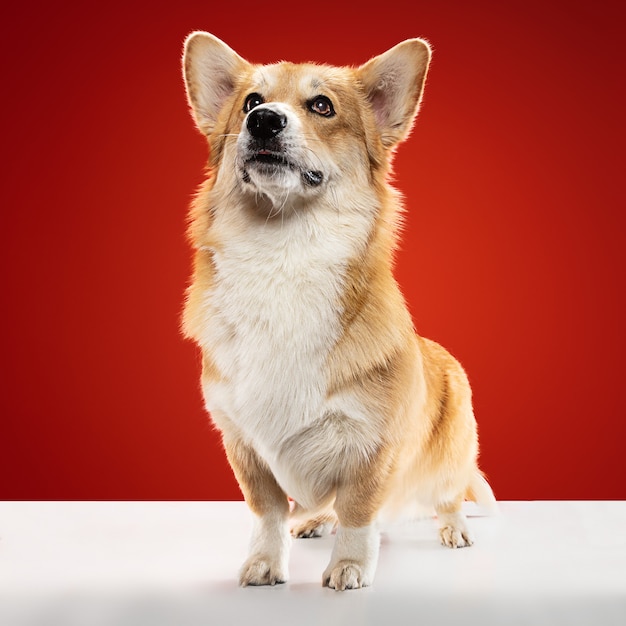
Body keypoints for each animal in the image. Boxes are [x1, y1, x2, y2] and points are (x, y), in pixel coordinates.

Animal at [182, 33, 498, 588]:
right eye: (251, 101)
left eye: (322, 106)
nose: (264, 121)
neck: (283, 252)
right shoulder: (242, 443)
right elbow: (268, 510)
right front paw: (265, 563)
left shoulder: (372, 443)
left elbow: (358, 509)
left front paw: (349, 567)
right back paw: (316, 520)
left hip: (451, 451)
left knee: (448, 491)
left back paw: (453, 526)